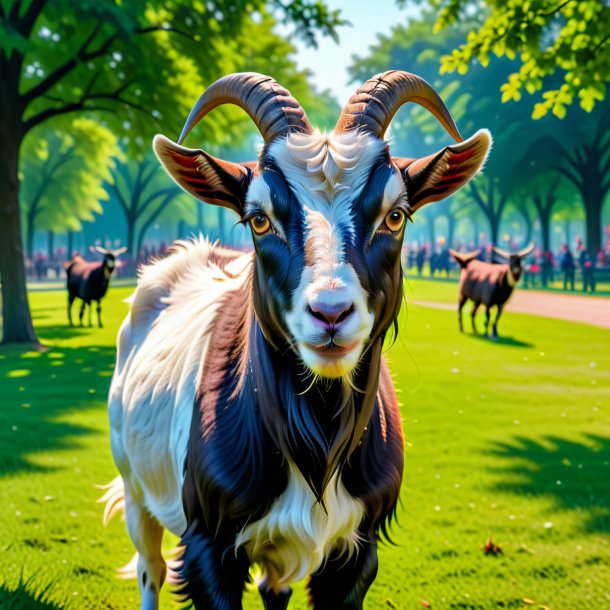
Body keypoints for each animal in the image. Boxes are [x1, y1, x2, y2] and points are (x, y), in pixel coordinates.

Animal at [105, 69, 490, 604]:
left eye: (395, 215)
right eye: (259, 218)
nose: (330, 312)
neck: (317, 440)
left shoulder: (358, 551)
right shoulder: (207, 546)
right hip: (136, 483)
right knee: (150, 568)